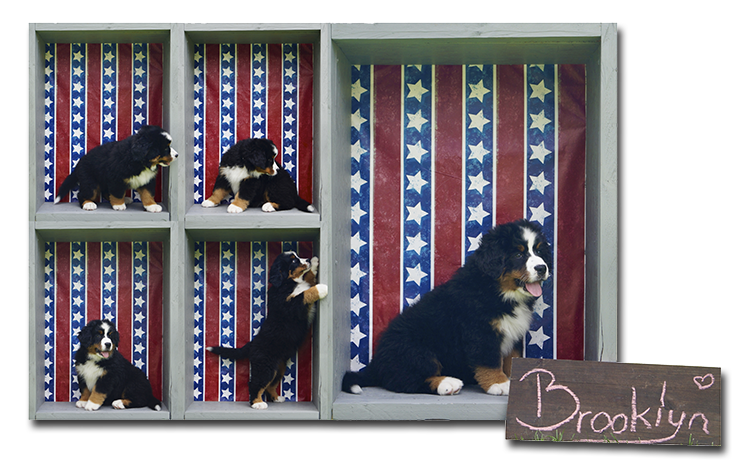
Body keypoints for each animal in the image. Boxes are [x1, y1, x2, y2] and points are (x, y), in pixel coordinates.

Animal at [208, 252, 328, 409]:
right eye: (293, 261)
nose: (307, 259)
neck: (287, 283)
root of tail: (252, 344)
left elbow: (308, 281)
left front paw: (314, 263)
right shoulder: (291, 307)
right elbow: (306, 293)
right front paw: (322, 288)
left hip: (278, 366)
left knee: (270, 384)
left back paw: (276, 398)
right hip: (265, 366)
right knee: (255, 383)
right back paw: (257, 403)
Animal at [342, 219, 552, 396]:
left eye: (539, 252)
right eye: (518, 254)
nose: (542, 268)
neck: (499, 290)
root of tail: (376, 363)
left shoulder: (513, 333)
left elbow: (511, 359)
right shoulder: (481, 333)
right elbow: (490, 361)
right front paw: (499, 384)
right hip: (414, 348)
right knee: (404, 380)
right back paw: (447, 383)